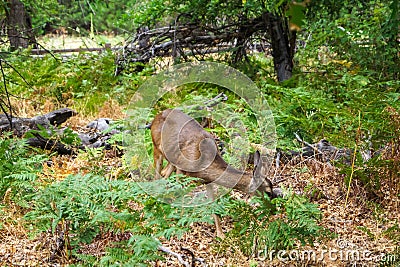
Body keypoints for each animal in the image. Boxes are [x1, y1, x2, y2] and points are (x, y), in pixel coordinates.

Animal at [149, 109, 276, 239]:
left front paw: (220, 234)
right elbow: (181, 195)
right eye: (268, 192)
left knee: (164, 174)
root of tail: (157, 116)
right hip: (157, 147)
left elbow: (213, 203)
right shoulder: (181, 169)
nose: (274, 210)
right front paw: (181, 224)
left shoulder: (208, 180)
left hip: (172, 157)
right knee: (156, 176)